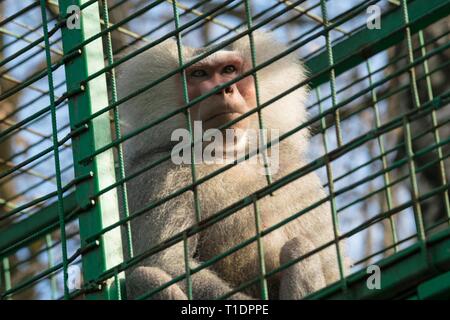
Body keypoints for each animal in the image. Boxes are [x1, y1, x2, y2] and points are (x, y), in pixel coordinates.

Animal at [117, 30, 344, 300]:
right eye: (199, 74)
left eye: (229, 69)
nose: (223, 90)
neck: (226, 155)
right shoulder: (157, 178)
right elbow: (165, 261)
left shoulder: (293, 172)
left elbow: (331, 266)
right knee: (144, 277)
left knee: (300, 246)